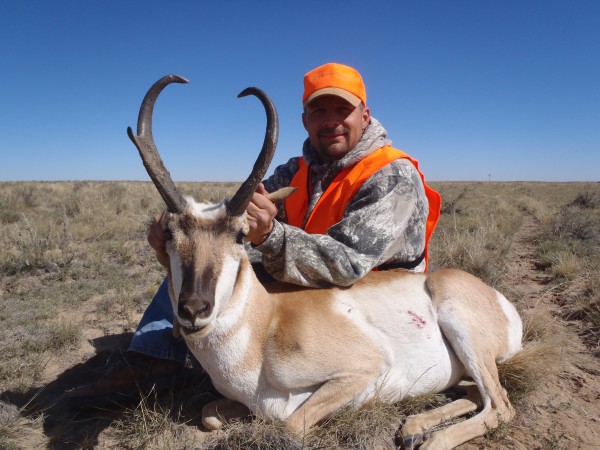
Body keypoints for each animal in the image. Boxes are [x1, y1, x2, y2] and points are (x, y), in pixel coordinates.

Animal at [129, 75, 524, 448]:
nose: (194, 310)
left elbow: (290, 425)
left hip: (464, 332)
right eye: (169, 234)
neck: (265, 324)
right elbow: (209, 414)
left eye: (241, 235)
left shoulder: (363, 369)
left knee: (500, 406)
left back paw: (428, 439)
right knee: (476, 394)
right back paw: (413, 427)